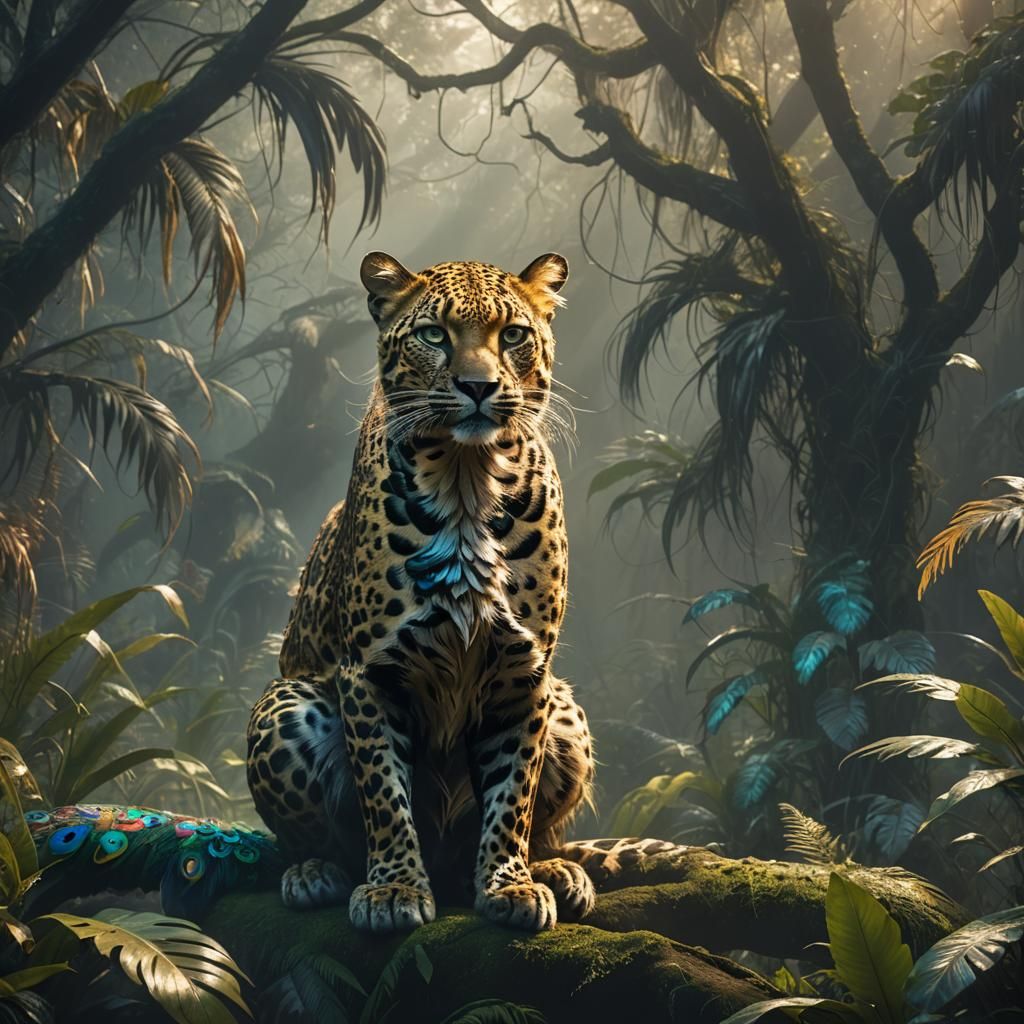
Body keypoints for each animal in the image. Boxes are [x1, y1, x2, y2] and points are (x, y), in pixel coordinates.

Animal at [246, 251, 677, 934]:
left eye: (514, 335)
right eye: (433, 335)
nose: (478, 386)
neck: (466, 476)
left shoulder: (525, 671)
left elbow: (513, 794)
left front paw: (510, 884)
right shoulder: (369, 671)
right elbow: (384, 792)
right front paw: (393, 889)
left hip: (567, 710)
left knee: (546, 830)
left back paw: (556, 871)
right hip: (286, 703)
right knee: (311, 836)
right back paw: (315, 873)